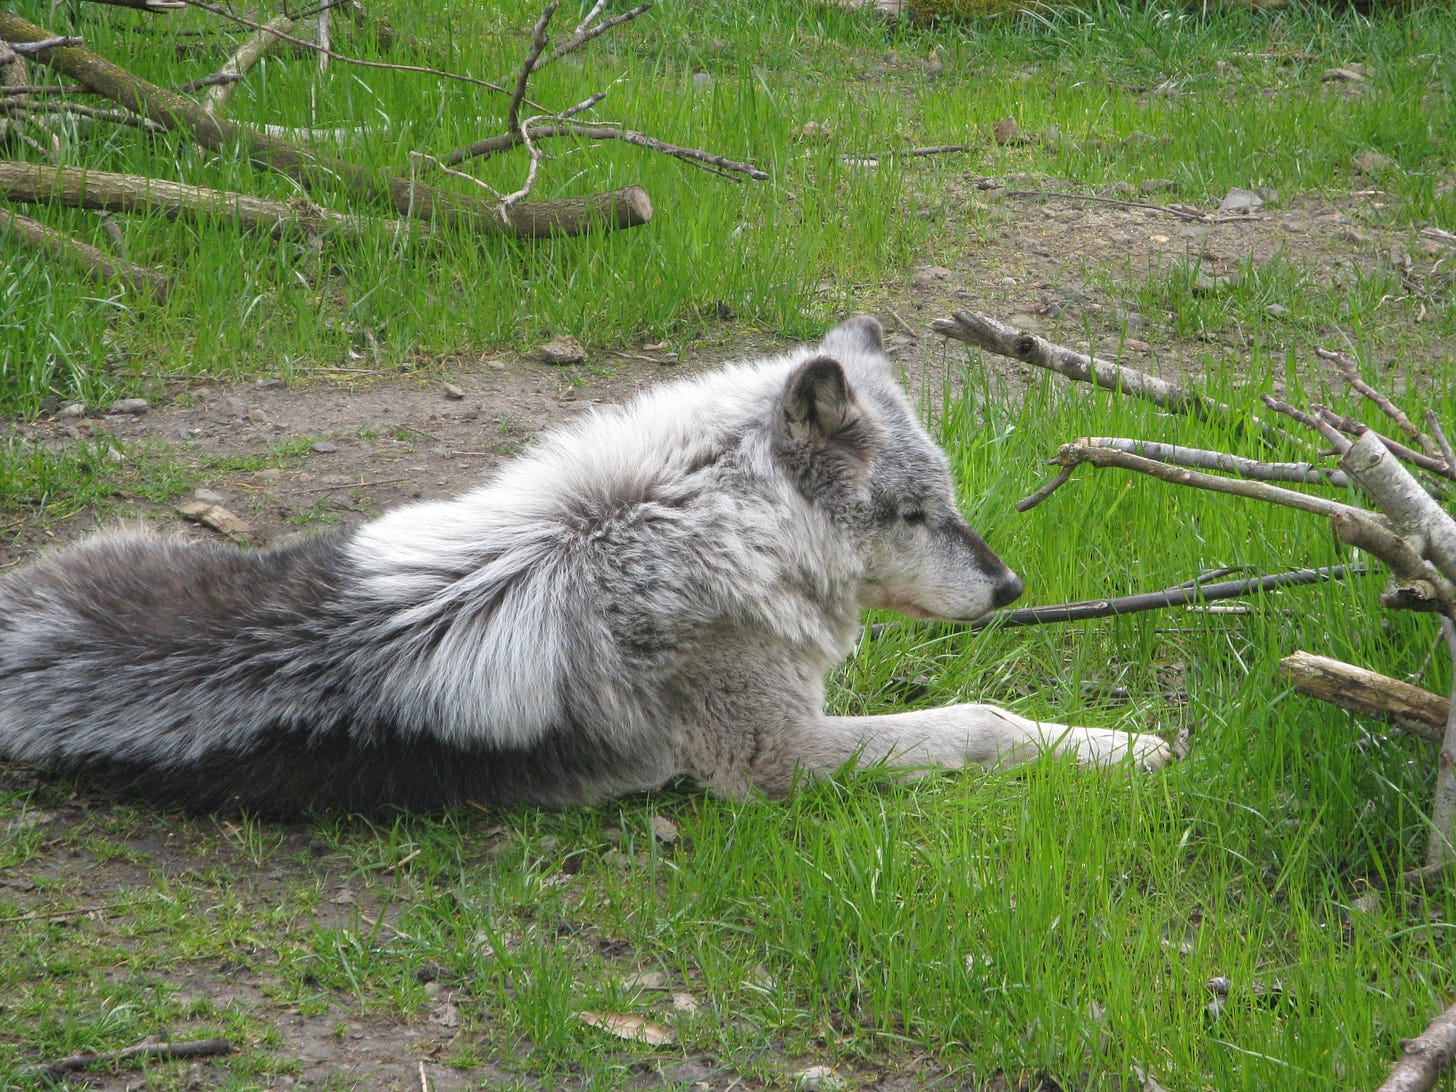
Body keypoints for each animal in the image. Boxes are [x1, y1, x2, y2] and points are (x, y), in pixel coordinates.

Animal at [0, 317, 1170, 817]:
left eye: (950, 504)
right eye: (918, 512)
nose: (1014, 591)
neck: (693, 530)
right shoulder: (779, 760)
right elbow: (980, 722)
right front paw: (1127, 748)